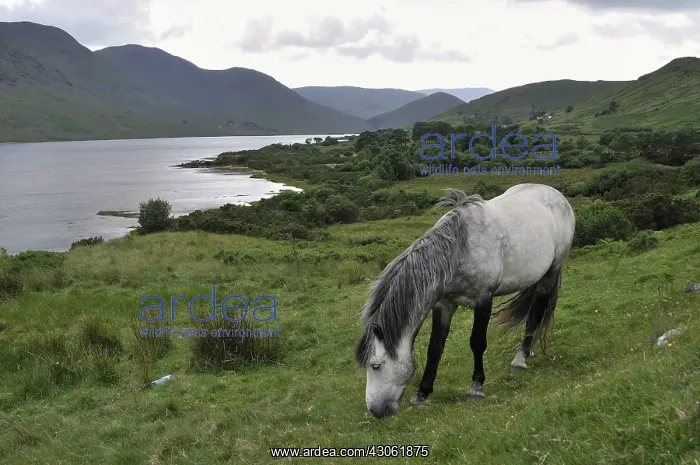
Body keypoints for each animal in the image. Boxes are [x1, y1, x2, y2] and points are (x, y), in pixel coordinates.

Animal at [354, 183, 575, 418]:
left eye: (376, 365)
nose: (376, 411)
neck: (458, 251)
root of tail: (556, 194)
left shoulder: (483, 299)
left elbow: (477, 343)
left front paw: (475, 389)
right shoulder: (444, 305)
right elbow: (435, 348)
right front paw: (422, 394)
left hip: (551, 272)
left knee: (536, 312)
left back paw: (520, 359)